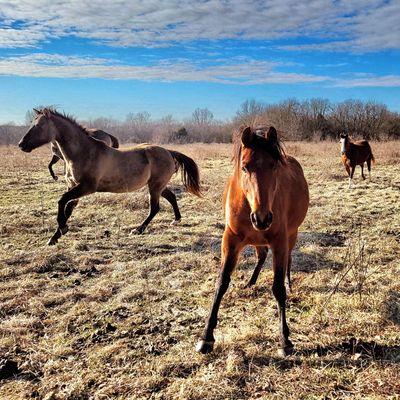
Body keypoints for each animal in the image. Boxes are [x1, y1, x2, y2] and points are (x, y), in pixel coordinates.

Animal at [18, 108, 202, 245]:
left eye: (39, 125)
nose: (21, 145)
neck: (83, 153)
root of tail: (168, 152)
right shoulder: (73, 186)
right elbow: (68, 207)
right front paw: (54, 238)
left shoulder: (87, 187)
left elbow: (62, 201)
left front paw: (63, 228)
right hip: (157, 185)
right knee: (171, 197)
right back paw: (176, 220)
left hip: (155, 186)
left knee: (155, 208)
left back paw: (138, 229)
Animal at [197, 126, 310, 356]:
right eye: (244, 167)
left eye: (274, 165)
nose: (262, 218)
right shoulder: (230, 240)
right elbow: (221, 283)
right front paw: (206, 337)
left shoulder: (279, 242)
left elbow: (278, 288)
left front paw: (284, 339)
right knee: (261, 255)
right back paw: (250, 282)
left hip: (291, 236)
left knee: (288, 261)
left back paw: (289, 283)